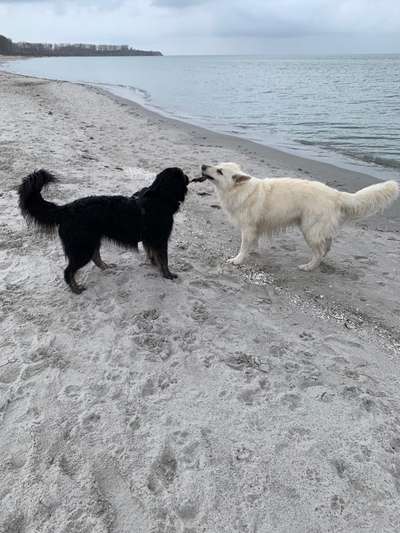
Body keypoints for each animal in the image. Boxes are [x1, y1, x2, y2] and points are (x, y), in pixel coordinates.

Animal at [17, 168, 189, 294]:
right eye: (181, 175)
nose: (188, 176)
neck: (160, 198)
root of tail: (66, 209)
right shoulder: (161, 239)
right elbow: (164, 259)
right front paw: (168, 275)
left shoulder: (151, 239)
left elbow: (152, 254)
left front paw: (154, 265)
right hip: (82, 248)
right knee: (68, 271)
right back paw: (76, 289)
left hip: (92, 240)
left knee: (95, 257)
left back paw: (105, 267)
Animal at [202, 162, 398, 270]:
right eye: (216, 165)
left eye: (219, 171)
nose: (203, 166)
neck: (240, 189)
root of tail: (334, 194)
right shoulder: (255, 227)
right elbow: (254, 243)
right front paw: (253, 251)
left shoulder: (248, 228)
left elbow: (244, 246)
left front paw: (238, 260)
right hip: (317, 229)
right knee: (326, 245)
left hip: (309, 230)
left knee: (319, 251)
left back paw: (309, 267)